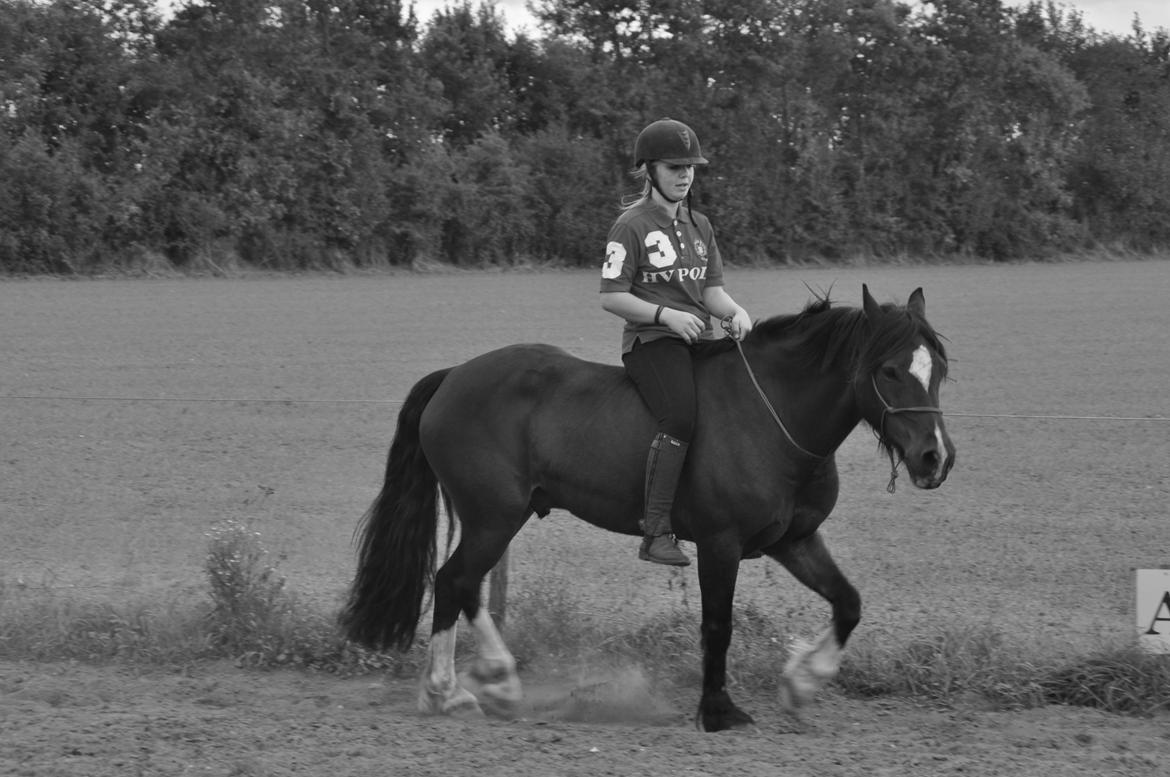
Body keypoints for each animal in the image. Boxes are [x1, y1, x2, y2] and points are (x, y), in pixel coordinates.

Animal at [340, 285, 955, 732]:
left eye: (939, 370)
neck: (773, 415)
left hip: (494, 520)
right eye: (889, 370)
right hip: (494, 517)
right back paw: (452, 692)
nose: (935, 458)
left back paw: (490, 683)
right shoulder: (720, 545)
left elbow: (848, 603)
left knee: (463, 585)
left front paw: (803, 683)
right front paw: (718, 711)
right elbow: (717, 625)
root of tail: (454, 377)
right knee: (454, 581)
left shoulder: (794, 541)